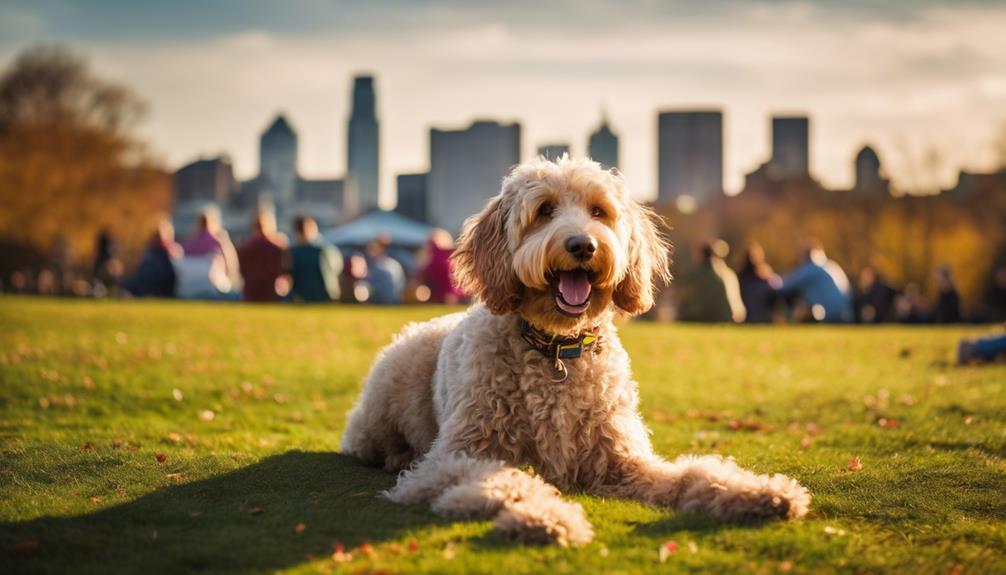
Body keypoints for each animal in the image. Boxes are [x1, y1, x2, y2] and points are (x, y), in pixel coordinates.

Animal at [342, 154, 812, 546]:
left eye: (599, 211)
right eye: (544, 210)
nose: (583, 245)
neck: (556, 349)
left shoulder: (620, 461)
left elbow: (694, 473)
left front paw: (758, 490)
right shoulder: (452, 458)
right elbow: (510, 479)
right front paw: (546, 517)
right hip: (382, 405)